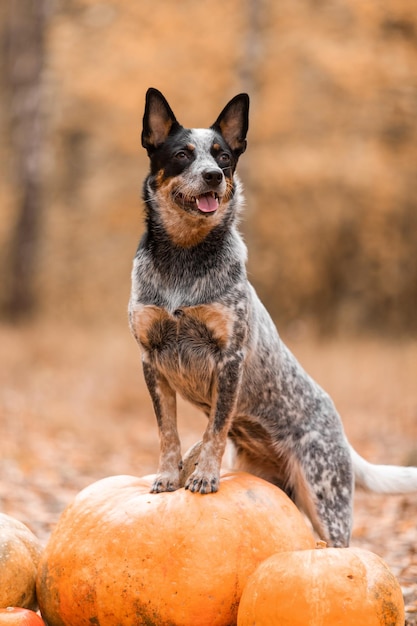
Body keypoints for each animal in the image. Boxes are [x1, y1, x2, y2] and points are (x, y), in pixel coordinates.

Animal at [129, 85, 416, 544]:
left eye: (224, 156)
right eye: (183, 154)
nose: (214, 176)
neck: (184, 258)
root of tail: (340, 432)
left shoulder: (230, 357)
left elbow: (215, 428)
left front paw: (204, 476)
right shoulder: (151, 359)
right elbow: (168, 431)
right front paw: (168, 475)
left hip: (326, 498)